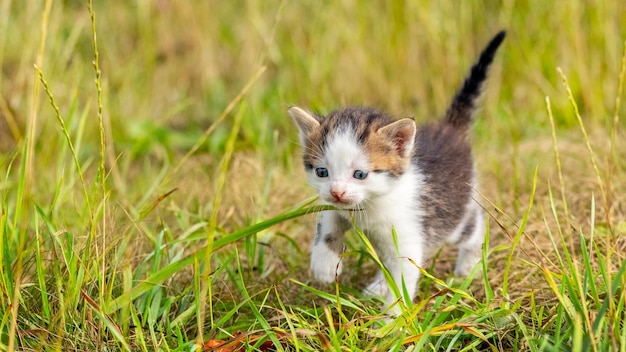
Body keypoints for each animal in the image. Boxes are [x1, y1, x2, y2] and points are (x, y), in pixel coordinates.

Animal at [290, 31, 504, 314]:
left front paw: (391, 320)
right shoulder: (339, 207)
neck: (369, 208)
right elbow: (328, 220)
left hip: (453, 216)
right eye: (322, 171)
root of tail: (448, 128)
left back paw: (469, 264)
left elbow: (403, 277)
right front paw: (324, 264)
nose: (337, 192)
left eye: (360, 174)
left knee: (473, 223)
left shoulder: (409, 231)